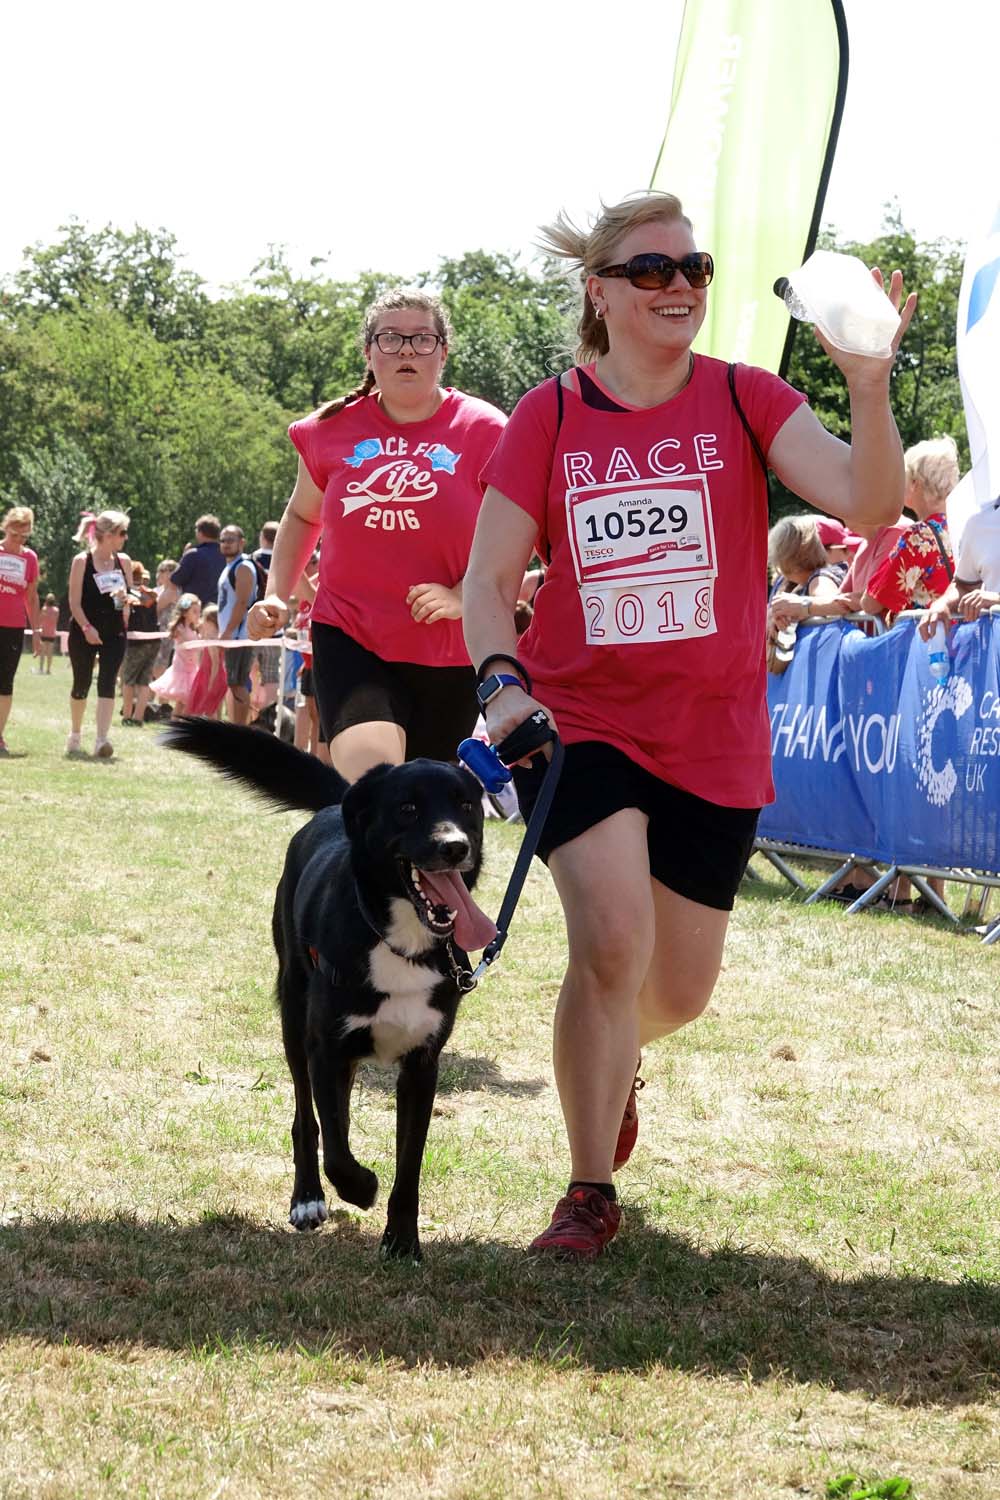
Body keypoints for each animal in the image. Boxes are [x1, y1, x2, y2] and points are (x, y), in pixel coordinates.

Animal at [160, 720, 497, 1260]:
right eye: (407, 809)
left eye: (466, 805)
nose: (455, 847)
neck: (398, 939)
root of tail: (336, 809)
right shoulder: (325, 1048)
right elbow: (335, 1148)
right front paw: (360, 1188)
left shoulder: (422, 1065)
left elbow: (409, 1166)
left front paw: (403, 1241)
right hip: (293, 1021)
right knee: (308, 1121)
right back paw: (308, 1198)